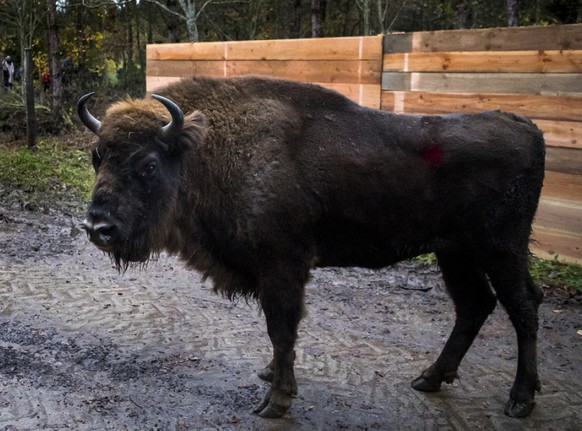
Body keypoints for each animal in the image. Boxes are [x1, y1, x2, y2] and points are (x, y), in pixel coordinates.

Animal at [77, 76, 548, 420]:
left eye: (148, 164)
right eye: (97, 156)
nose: (98, 227)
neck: (209, 151)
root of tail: (524, 125)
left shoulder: (282, 265)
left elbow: (282, 328)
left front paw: (276, 401)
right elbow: (281, 332)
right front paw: (270, 375)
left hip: (500, 248)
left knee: (523, 306)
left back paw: (520, 400)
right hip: (455, 252)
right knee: (474, 305)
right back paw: (430, 378)